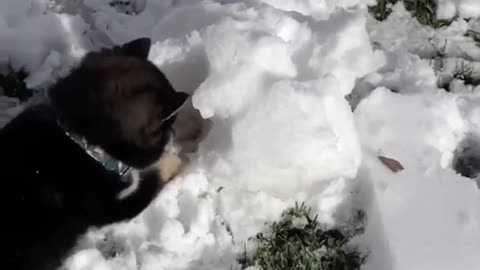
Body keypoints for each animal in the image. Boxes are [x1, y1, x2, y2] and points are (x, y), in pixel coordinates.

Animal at [1, 37, 189, 268]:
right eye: (167, 127)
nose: (173, 134)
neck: (80, 141)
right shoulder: (110, 208)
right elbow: (151, 179)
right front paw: (174, 158)